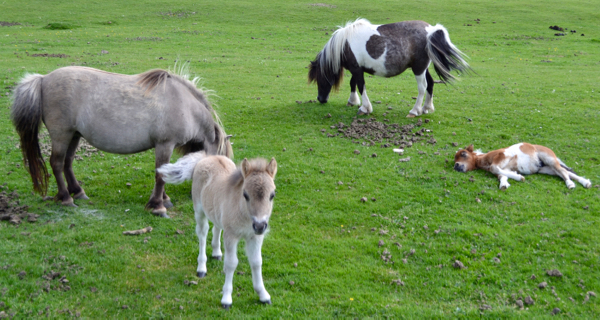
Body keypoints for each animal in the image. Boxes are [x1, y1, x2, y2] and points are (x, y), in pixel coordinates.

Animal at [11, 65, 233, 216]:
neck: (184, 104)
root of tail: (43, 79)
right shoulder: (165, 144)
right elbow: (160, 175)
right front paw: (158, 206)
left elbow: (162, 172)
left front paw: (164, 199)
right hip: (62, 134)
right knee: (56, 163)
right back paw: (66, 198)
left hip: (74, 135)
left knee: (67, 163)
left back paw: (78, 192)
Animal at [156, 154, 276, 308]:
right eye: (245, 195)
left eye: (272, 195)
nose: (260, 226)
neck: (244, 215)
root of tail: (208, 157)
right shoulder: (231, 236)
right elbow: (231, 263)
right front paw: (226, 299)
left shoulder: (254, 237)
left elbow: (256, 262)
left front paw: (263, 295)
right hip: (199, 210)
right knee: (202, 233)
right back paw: (202, 268)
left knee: (216, 227)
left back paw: (217, 253)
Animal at [308, 18, 472, 117]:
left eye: (319, 79)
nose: (320, 99)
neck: (344, 44)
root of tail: (431, 30)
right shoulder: (356, 69)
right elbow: (353, 83)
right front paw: (352, 101)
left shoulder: (356, 69)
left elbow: (360, 86)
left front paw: (365, 108)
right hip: (423, 68)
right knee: (430, 84)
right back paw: (427, 108)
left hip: (418, 68)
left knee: (422, 87)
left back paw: (415, 111)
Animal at [454, 143, 592, 190]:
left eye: (463, 153)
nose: (456, 166)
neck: (485, 159)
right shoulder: (504, 169)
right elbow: (502, 176)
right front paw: (504, 184)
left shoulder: (504, 155)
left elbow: (494, 168)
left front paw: (520, 177)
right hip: (546, 169)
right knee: (566, 172)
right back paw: (586, 182)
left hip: (550, 160)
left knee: (563, 171)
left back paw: (571, 184)